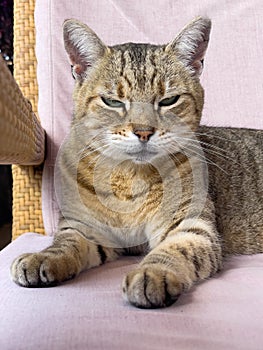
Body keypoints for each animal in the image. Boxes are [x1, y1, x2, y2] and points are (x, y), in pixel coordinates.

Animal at [10, 17, 263, 308]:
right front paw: (43, 257)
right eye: (112, 101)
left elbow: (174, 250)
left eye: (168, 100)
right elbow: (64, 244)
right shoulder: (84, 228)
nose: (143, 131)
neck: (128, 180)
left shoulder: (191, 227)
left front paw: (152, 272)